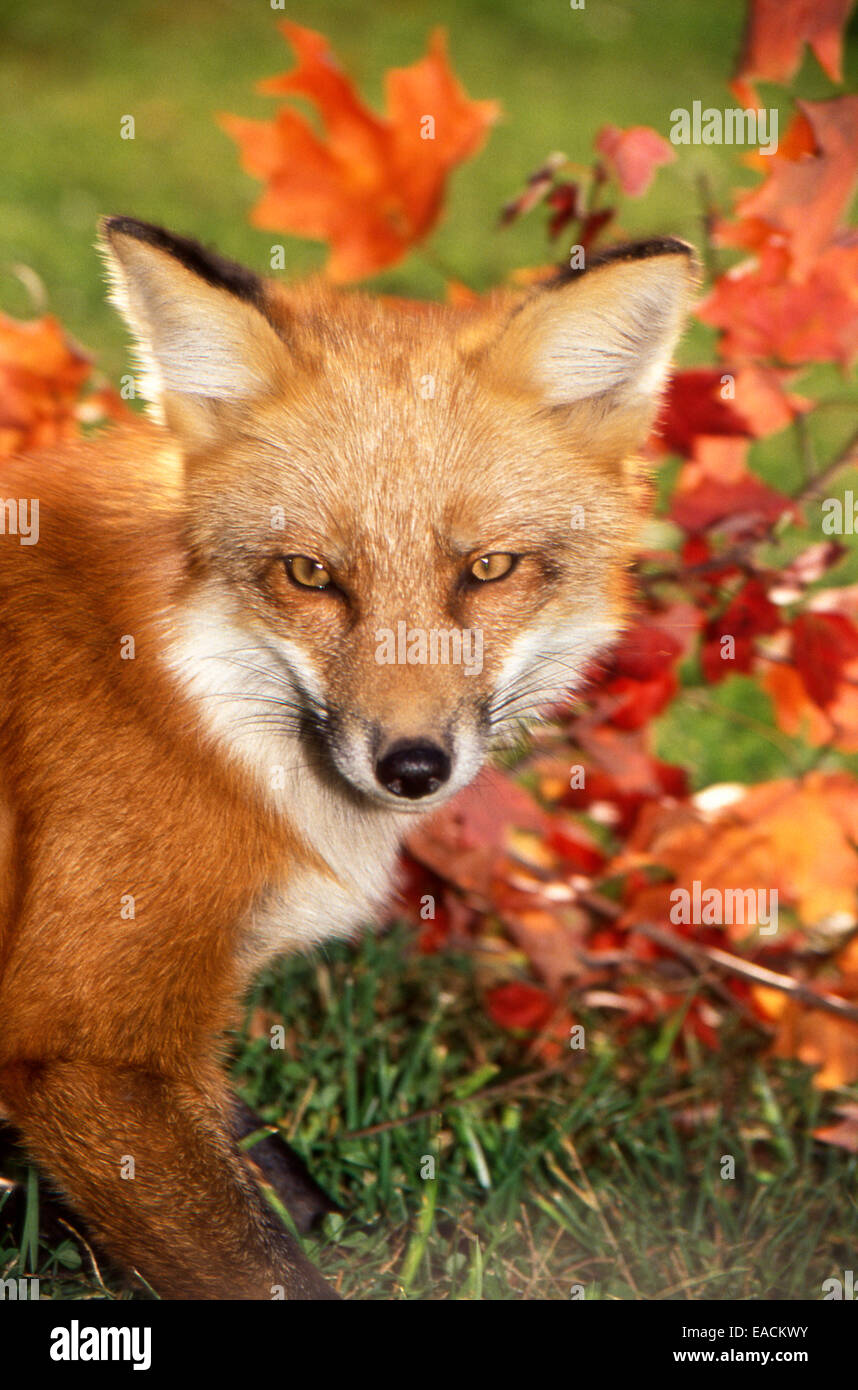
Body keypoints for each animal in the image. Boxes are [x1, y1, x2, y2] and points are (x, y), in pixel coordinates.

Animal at [0, 218, 696, 1299]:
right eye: (310, 575)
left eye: (488, 568)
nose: (412, 767)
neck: (182, 693)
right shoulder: (82, 1040)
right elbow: (264, 1263)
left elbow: (271, 1167)